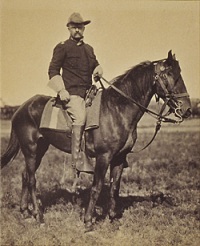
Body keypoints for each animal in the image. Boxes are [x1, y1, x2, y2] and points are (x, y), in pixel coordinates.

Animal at [0, 51, 191, 232]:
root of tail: (21, 109)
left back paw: (25, 212)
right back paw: (39, 216)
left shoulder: (119, 158)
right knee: (32, 180)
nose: (187, 109)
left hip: (40, 149)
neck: (117, 109)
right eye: (170, 74)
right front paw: (88, 222)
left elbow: (115, 187)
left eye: (180, 73)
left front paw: (112, 218)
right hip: (30, 149)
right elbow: (97, 187)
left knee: (25, 175)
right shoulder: (103, 157)